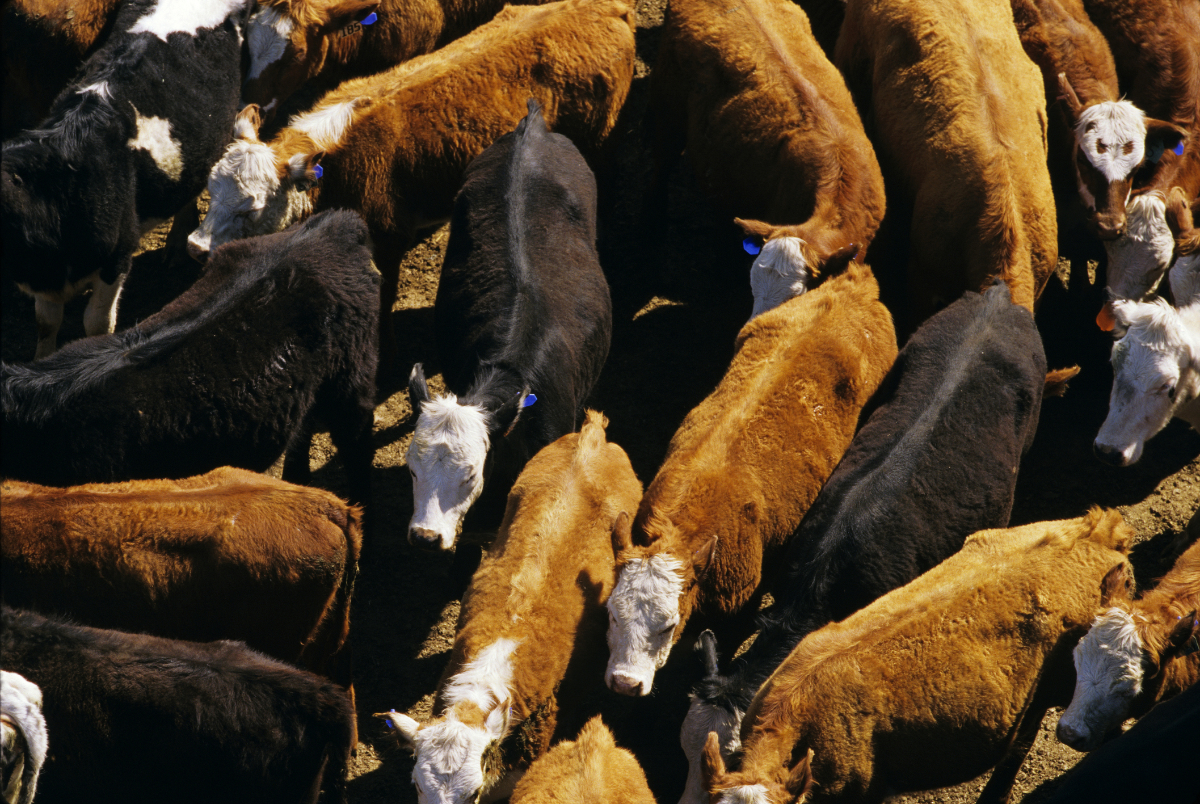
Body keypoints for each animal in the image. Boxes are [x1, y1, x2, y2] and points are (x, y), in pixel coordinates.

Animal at [187, 0, 635, 372]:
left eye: (250, 208)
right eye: (211, 192)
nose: (195, 248)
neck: (336, 159)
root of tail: (607, 8)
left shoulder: (387, 242)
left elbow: (383, 299)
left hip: (599, 141)